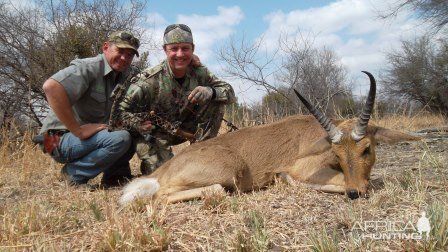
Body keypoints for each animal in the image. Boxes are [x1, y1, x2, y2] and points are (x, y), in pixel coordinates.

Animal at [120, 71, 420, 205]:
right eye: (337, 153)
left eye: (366, 149)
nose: (355, 192)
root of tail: (163, 170)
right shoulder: (305, 168)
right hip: (230, 173)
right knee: (164, 194)